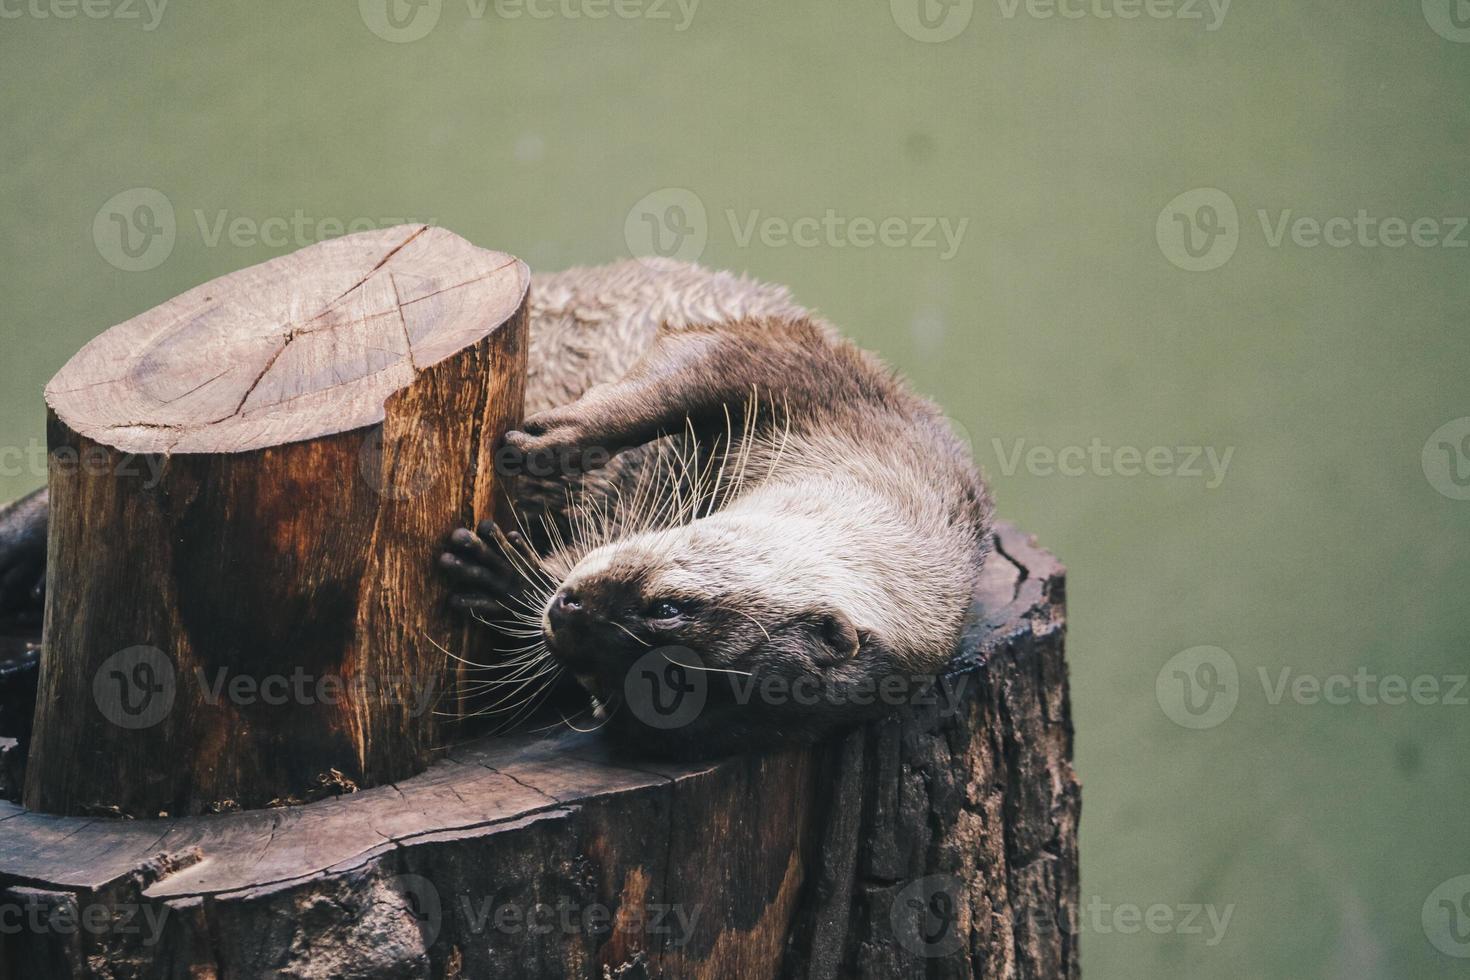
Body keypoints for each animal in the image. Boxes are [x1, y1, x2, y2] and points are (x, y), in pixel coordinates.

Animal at [0, 258, 993, 758]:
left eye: (652, 689)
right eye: (673, 608)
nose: (570, 614)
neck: (874, 458)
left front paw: (501, 577)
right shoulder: (808, 372)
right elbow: (679, 375)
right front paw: (553, 440)